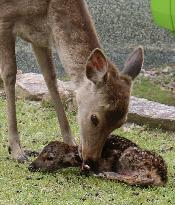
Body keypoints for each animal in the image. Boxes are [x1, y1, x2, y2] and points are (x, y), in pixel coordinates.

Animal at [0, 0, 144, 163]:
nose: (91, 158)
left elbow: (50, 78)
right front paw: (17, 151)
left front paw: (70, 142)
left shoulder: (39, 36)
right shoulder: (5, 19)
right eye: (94, 118)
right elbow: (9, 74)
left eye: (121, 123)